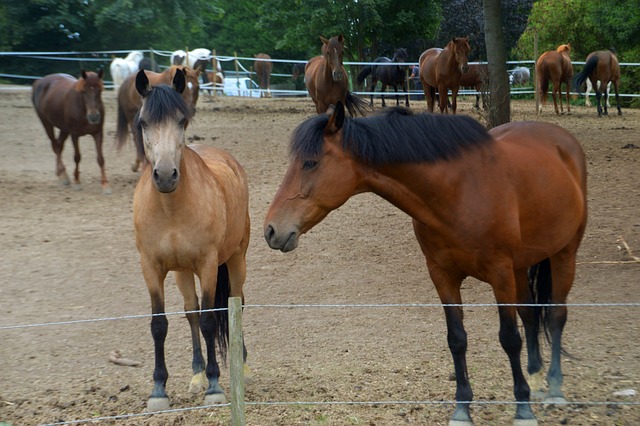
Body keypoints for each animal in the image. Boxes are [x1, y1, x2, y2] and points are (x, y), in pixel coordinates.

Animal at [132, 68, 250, 412]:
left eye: (182, 121)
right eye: (143, 122)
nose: (165, 175)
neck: (171, 210)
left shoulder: (208, 265)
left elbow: (211, 320)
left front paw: (214, 385)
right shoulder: (152, 269)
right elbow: (160, 324)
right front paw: (159, 390)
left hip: (236, 259)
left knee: (236, 304)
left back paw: (242, 366)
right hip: (182, 272)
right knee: (191, 311)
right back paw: (197, 374)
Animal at [262, 101, 588, 424]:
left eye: (310, 163)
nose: (271, 230)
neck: (459, 190)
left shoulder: (500, 273)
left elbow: (509, 338)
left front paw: (522, 408)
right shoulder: (443, 275)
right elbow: (457, 338)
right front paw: (462, 408)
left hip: (563, 254)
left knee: (556, 315)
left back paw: (554, 389)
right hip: (520, 267)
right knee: (530, 315)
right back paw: (535, 379)